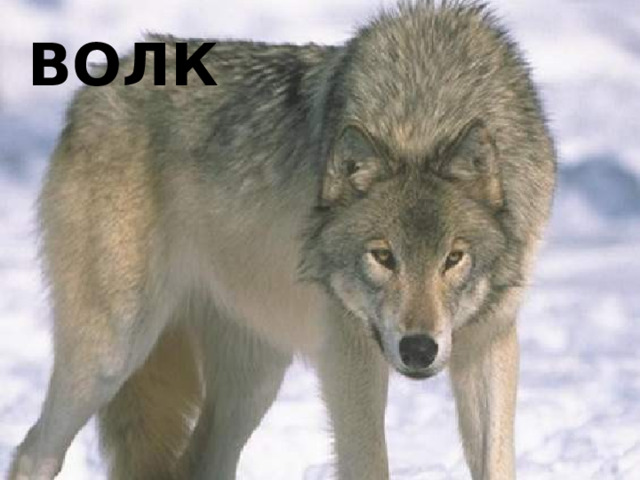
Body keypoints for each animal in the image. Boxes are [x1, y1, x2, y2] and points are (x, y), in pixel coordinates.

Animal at [10, 1, 555, 479]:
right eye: (383, 256)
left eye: (453, 258)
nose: (418, 349)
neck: (424, 111)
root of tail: (101, 82)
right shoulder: (349, 355)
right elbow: (369, 465)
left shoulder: (489, 341)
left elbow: (497, 463)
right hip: (113, 351)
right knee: (33, 451)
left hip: (255, 380)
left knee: (200, 462)